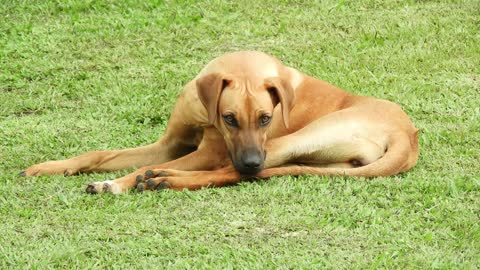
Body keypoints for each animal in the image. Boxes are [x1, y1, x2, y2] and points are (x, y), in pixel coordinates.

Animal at [21, 51, 420, 194]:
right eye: (229, 118)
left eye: (266, 118)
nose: (252, 160)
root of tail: (408, 138)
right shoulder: (168, 144)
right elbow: (99, 153)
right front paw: (49, 166)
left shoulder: (209, 153)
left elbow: (137, 168)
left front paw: (115, 182)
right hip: (314, 159)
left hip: (292, 141)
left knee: (230, 174)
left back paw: (160, 179)